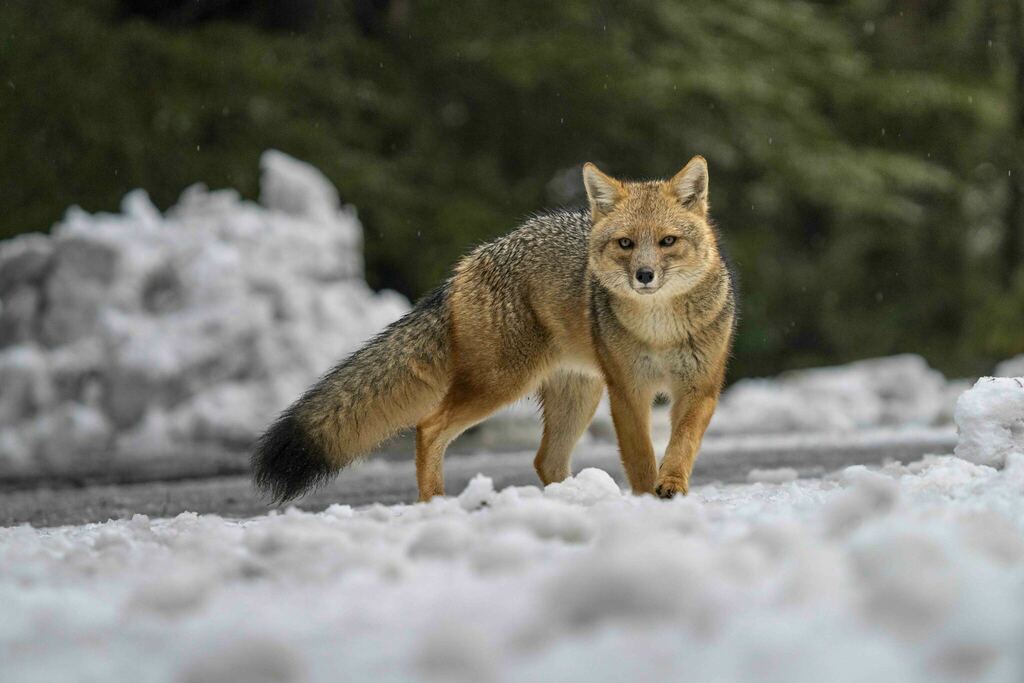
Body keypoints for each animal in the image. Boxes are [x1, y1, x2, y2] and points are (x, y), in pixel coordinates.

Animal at [253, 156, 737, 503]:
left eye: (667, 241)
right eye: (626, 244)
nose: (644, 275)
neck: (660, 330)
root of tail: (469, 262)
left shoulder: (700, 387)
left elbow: (681, 445)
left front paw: (670, 485)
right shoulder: (628, 391)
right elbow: (640, 457)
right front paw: (645, 499)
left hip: (575, 395)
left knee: (544, 461)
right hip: (502, 384)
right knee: (429, 427)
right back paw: (436, 503)